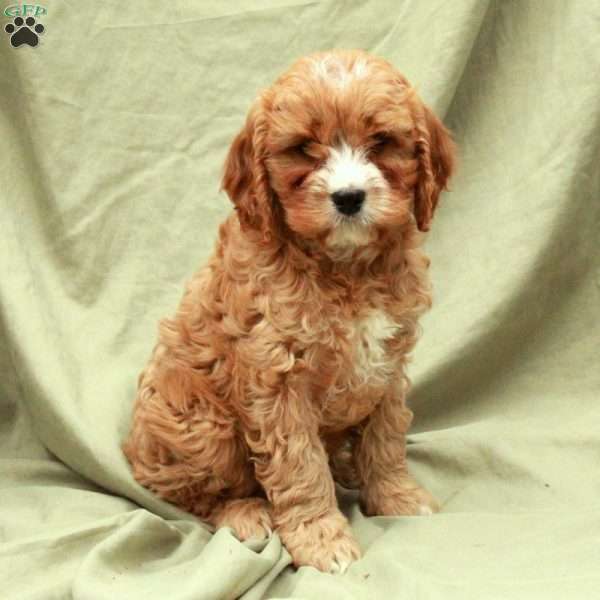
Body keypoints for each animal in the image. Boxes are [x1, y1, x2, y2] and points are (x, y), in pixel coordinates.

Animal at [125, 49, 454, 576]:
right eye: (302, 148)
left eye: (382, 143)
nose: (348, 197)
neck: (345, 269)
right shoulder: (278, 378)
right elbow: (299, 464)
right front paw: (322, 537)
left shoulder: (388, 361)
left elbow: (385, 436)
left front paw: (396, 496)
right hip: (199, 424)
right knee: (193, 494)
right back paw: (244, 513)